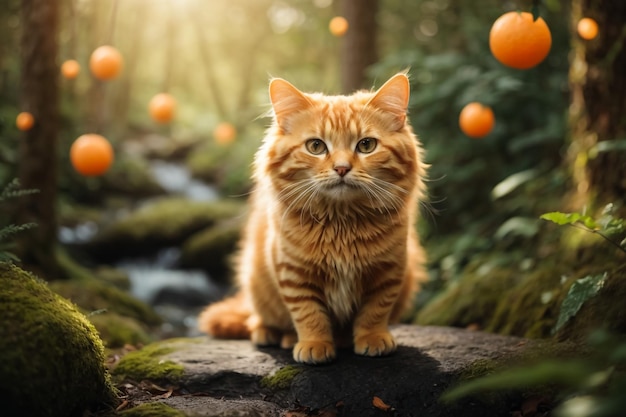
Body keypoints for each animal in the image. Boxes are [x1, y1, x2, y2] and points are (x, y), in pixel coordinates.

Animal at [197, 73, 426, 362]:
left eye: (366, 145)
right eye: (316, 146)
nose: (342, 168)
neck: (342, 223)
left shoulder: (389, 271)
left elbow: (374, 312)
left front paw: (372, 339)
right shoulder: (294, 273)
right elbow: (309, 315)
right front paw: (315, 345)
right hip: (256, 282)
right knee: (255, 319)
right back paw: (274, 334)